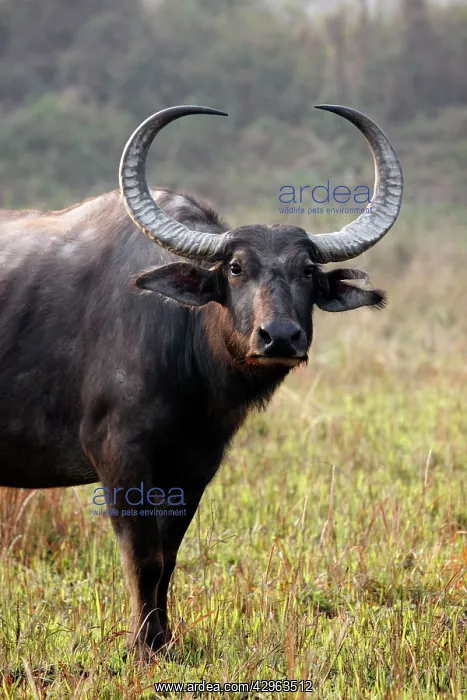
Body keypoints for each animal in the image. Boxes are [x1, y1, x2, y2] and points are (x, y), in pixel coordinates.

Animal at [0, 104, 403, 659]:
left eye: (306, 271)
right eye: (234, 267)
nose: (280, 337)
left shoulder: (196, 464)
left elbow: (168, 556)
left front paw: (164, 640)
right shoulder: (117, 455)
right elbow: (142, 555)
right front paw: (142, 646)